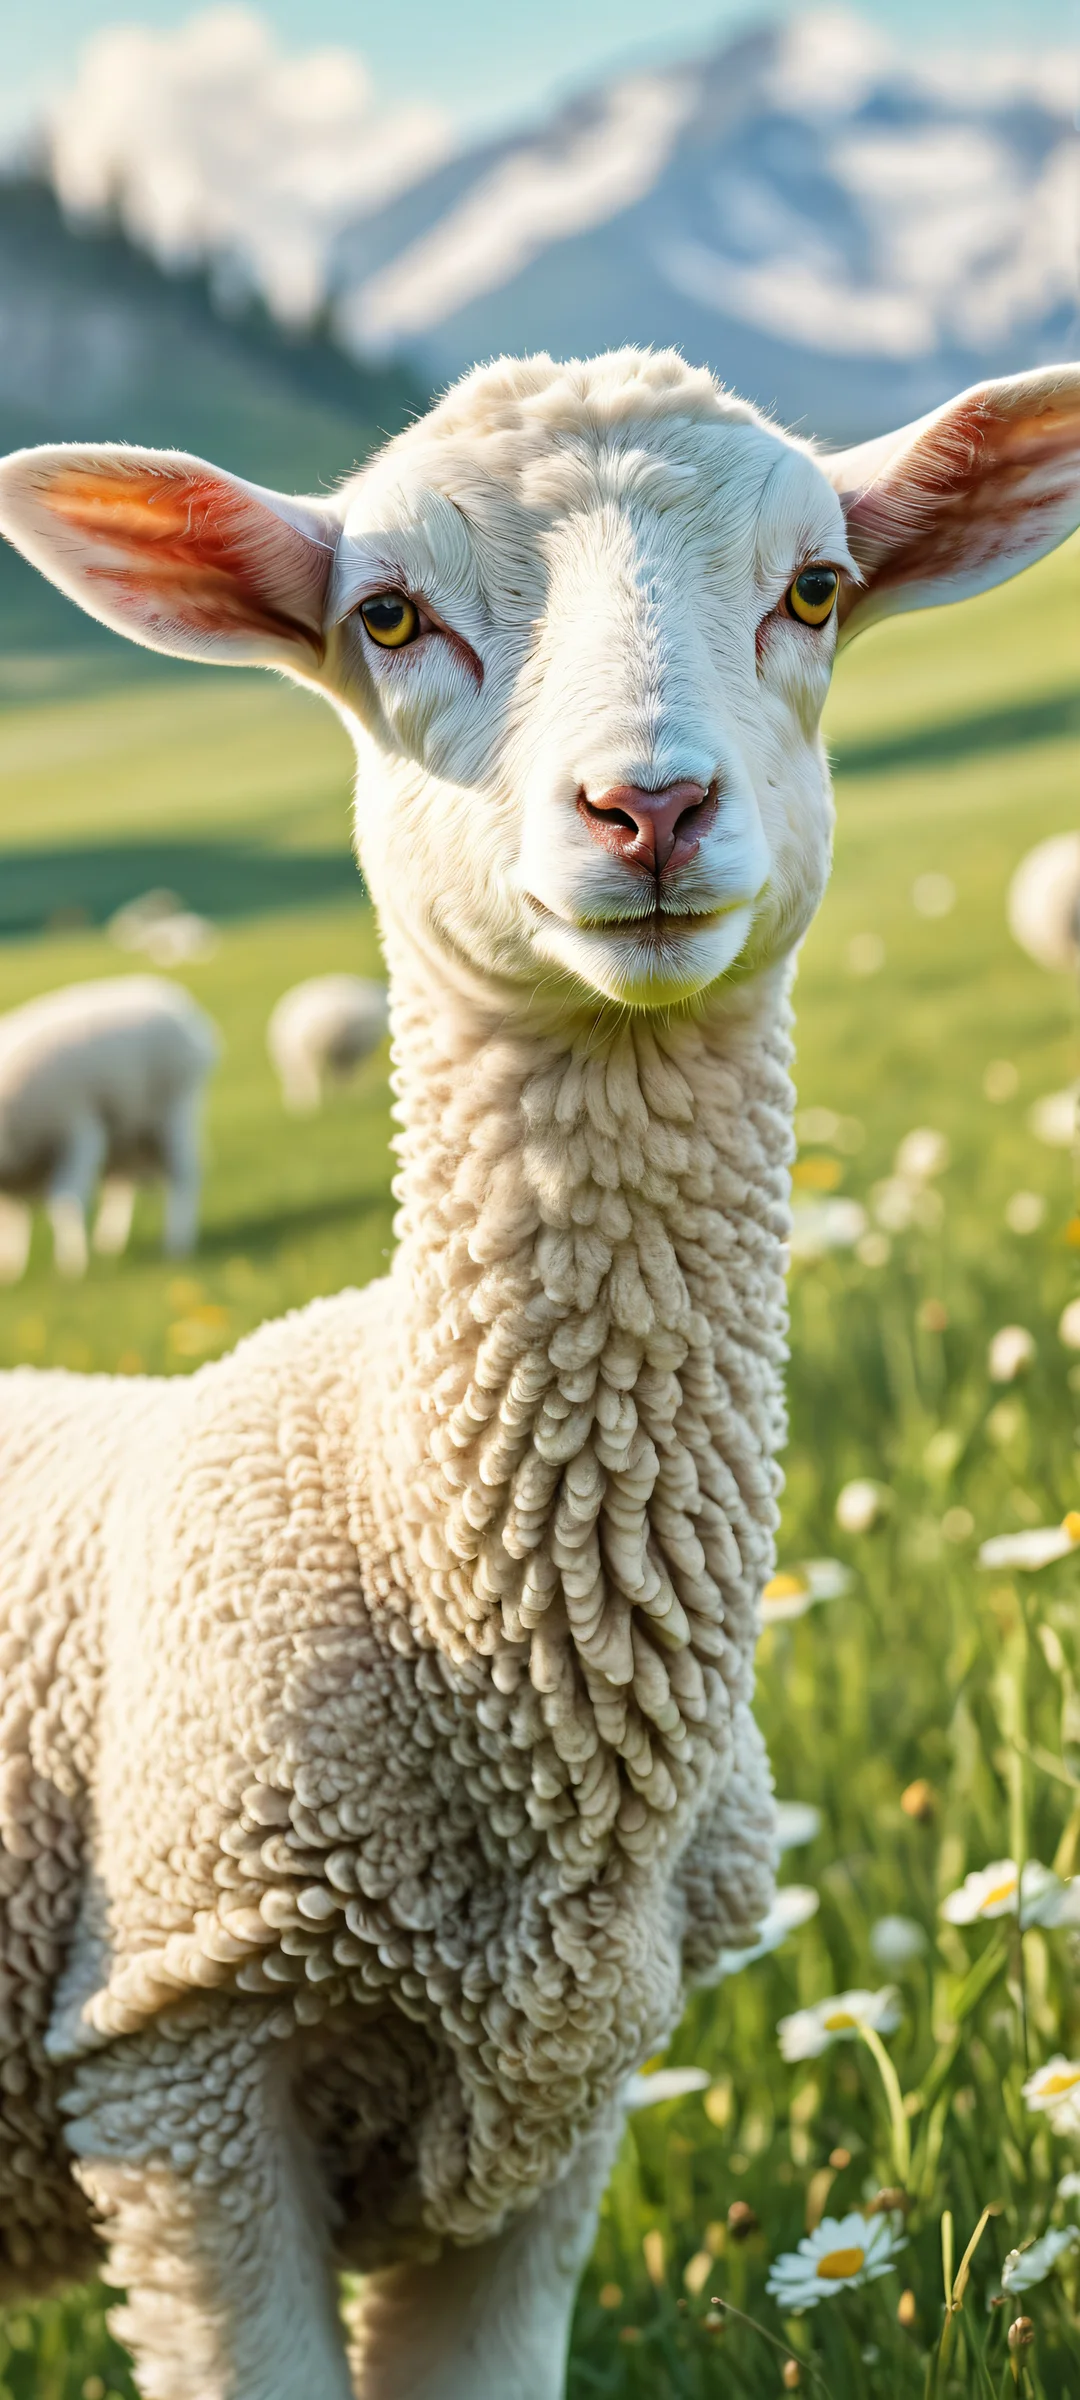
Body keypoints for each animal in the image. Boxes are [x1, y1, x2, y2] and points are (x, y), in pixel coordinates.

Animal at [0, 974, 219, 1279]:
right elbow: (12, 1219)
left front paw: (73, 1265)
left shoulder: (76, 1127)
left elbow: (66, 1201)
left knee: (184, 1176)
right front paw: (11, 1268)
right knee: (121, 1186)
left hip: (173, 1110)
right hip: (125, 1137)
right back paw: (110, 1244)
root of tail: (169, 995)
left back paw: (177, 1243)